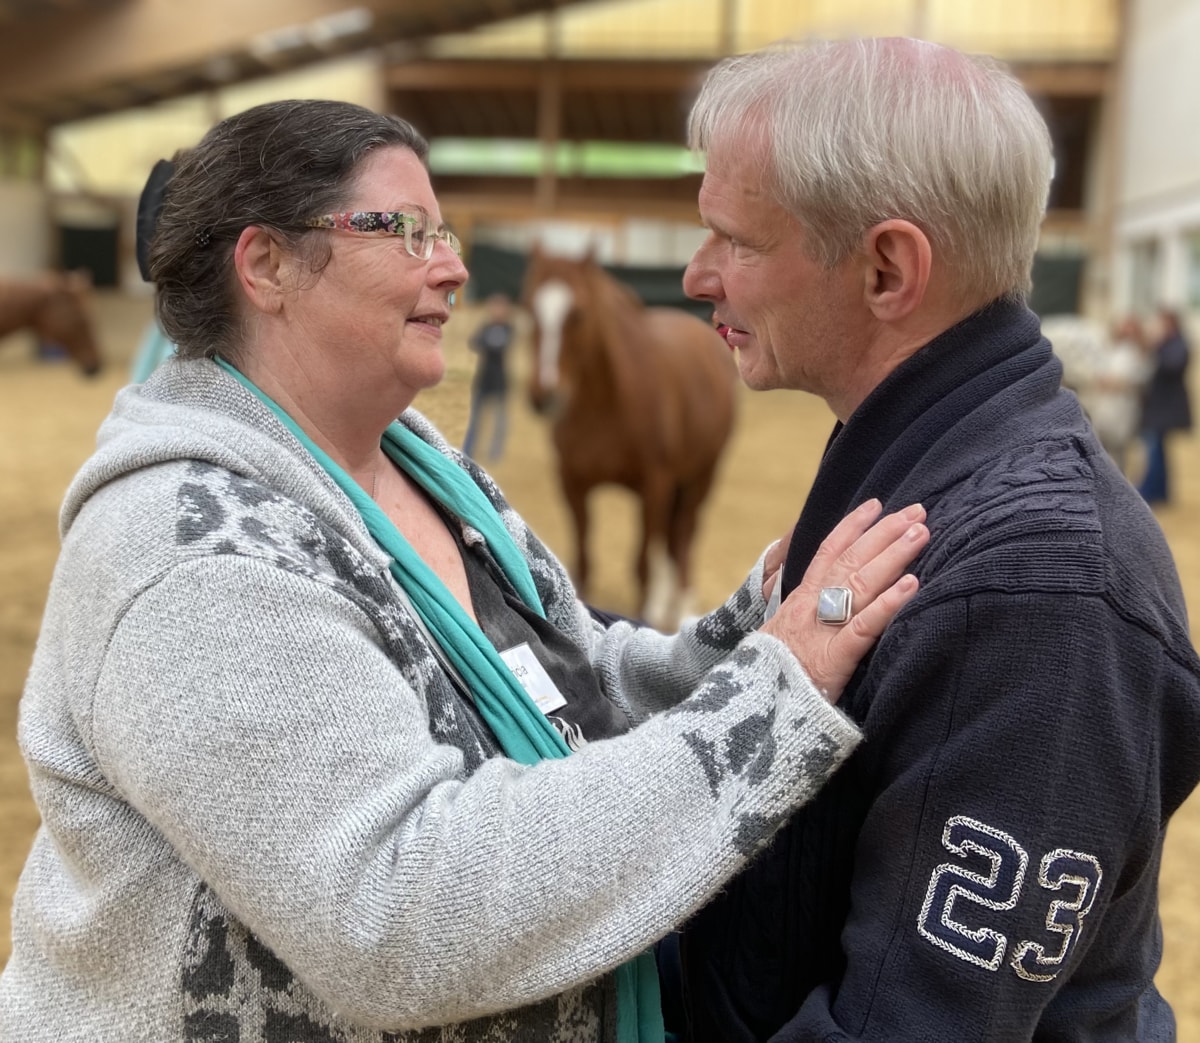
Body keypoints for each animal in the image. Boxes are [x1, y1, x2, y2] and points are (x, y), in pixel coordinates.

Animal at [521, 246, 737, 630]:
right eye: (530, 306)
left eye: (578, 314)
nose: (543, 396)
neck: (607, 406)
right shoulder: (573, 484)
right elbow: (583, 560)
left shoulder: (653, 487)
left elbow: (642, 564)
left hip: (700, 477)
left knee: (683, 537)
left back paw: (681, 606)